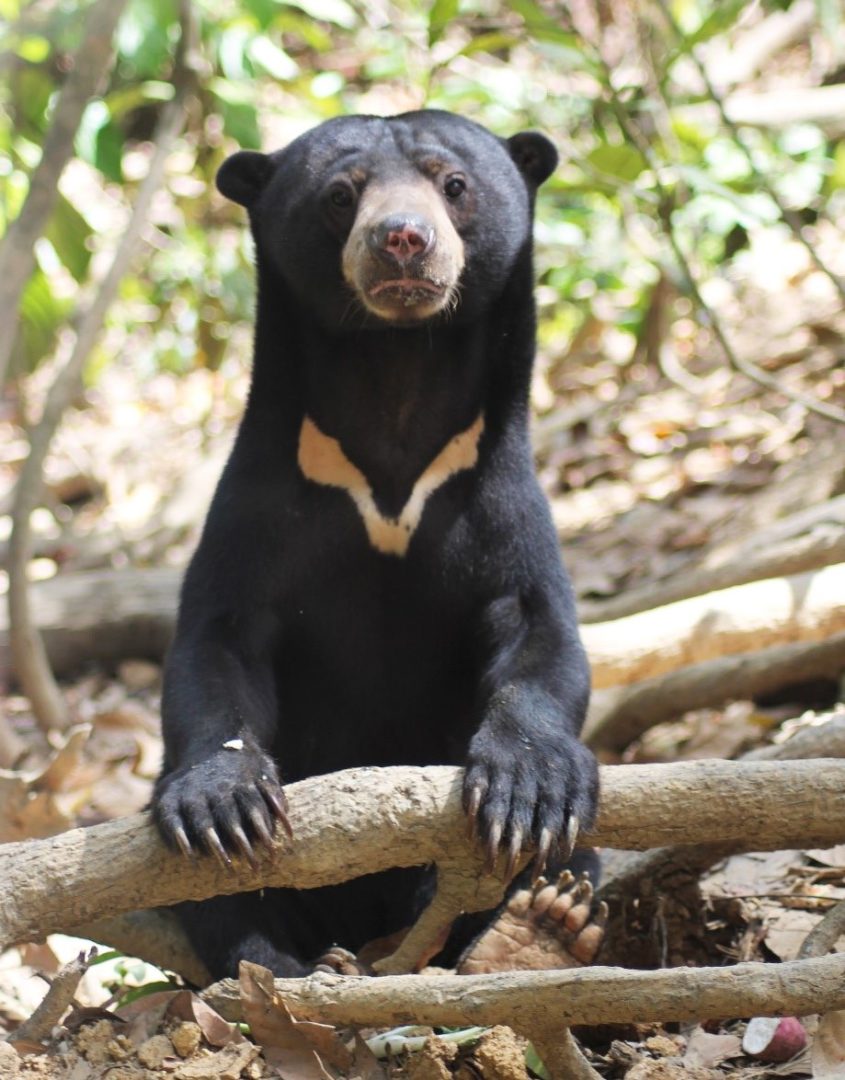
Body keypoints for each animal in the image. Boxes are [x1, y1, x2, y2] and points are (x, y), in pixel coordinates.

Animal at [152, 109, 600, 980]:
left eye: (451, 183)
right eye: (339, 196)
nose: (401, 239)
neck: (394, 381)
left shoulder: (494, 497)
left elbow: (539, 631)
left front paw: (528, 786)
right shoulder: (263, 502)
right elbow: (216, 644)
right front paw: (224, 799)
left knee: (578, 860)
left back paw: (540, 926)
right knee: (219, 901)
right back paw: (278, 970)